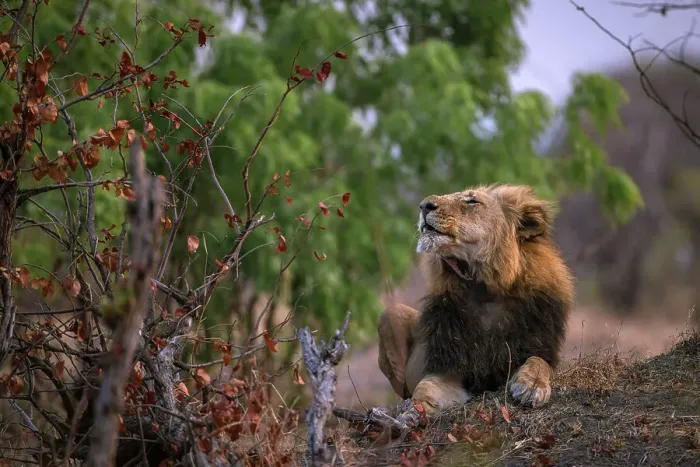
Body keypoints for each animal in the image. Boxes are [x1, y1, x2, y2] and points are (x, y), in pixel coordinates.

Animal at [377, 184, 574, 414]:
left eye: (472, 201)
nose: (424, 205)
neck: (484, 288)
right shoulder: (449, 368)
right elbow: (426, 387)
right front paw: (418, 407)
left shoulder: (538, 345)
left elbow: (538, 362)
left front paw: (532, 385)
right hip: (391, 314)